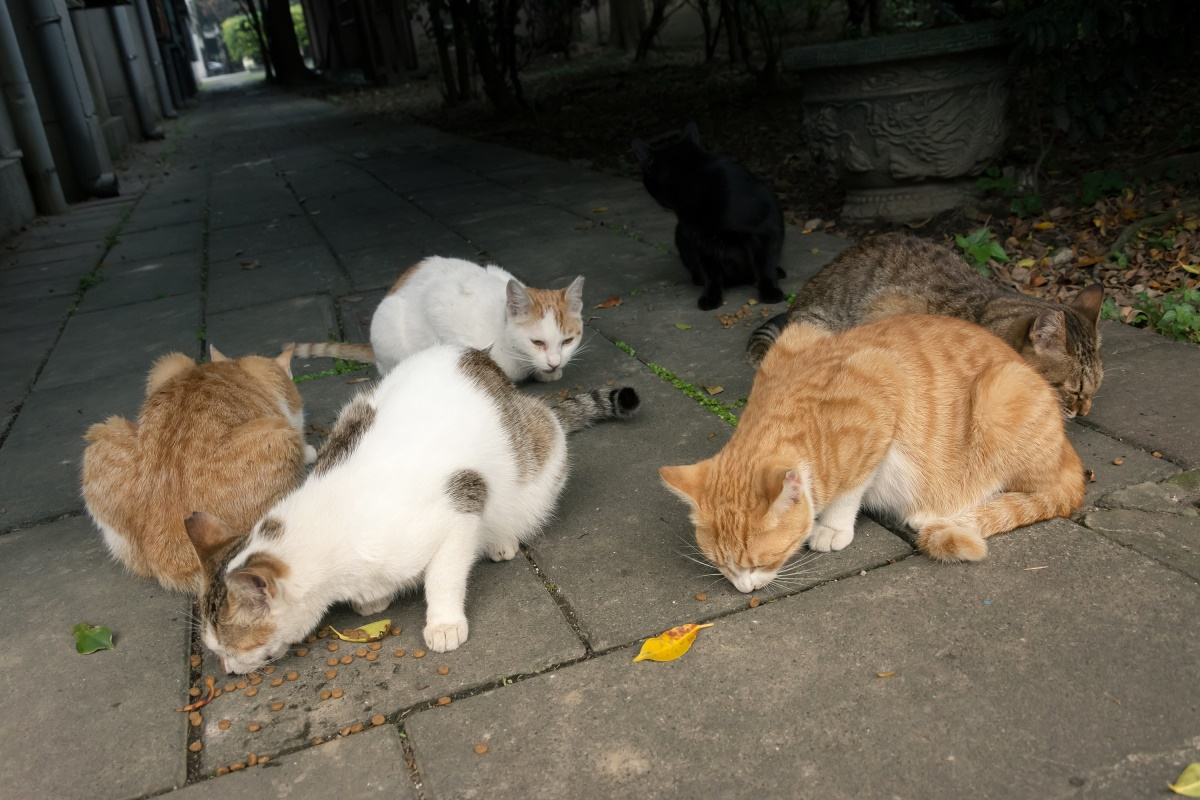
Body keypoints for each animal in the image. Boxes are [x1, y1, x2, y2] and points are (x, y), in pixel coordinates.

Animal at [628, 123, 787, 311]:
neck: (696, 182)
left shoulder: (764, 230)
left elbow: (765, 265)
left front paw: (770, 292)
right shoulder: (703, 243)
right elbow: (711, 274)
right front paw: (711, 297)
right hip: (681, 233)